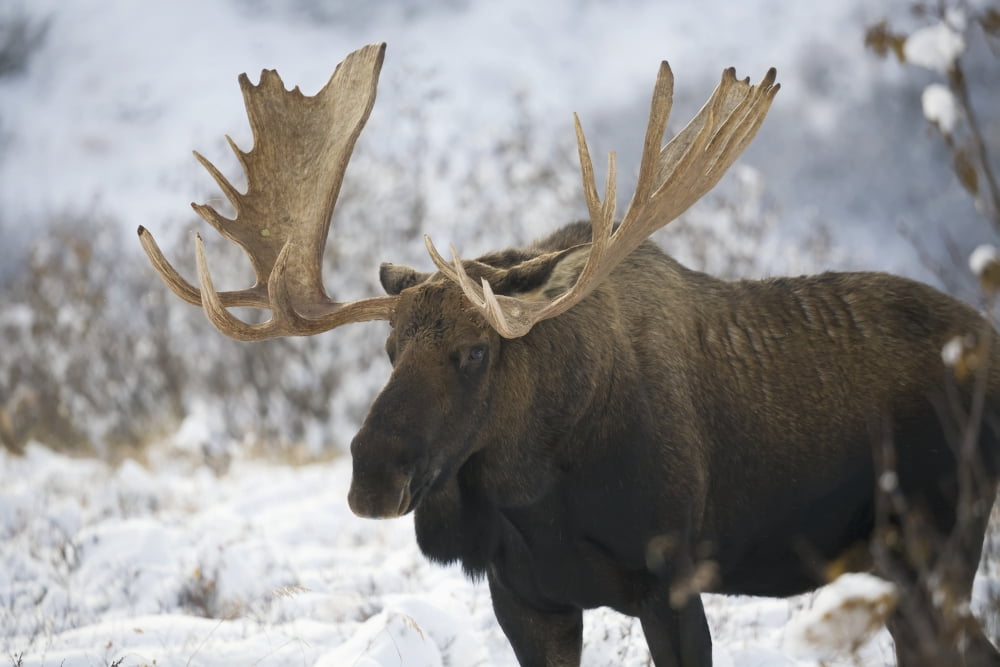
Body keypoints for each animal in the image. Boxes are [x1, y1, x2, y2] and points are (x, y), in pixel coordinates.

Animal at [138, 43, 1000, 666]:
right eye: (387, 346)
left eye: (477, 350)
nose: (373, 473)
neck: (536, 497)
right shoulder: (528, 600)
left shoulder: (671, 582)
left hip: (942, 546)